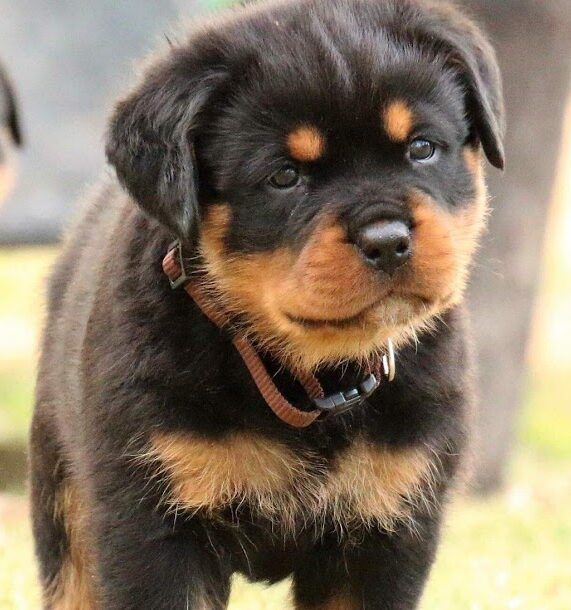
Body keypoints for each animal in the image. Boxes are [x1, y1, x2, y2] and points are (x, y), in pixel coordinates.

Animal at [31, 0, 504, 604]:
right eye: (285, 176)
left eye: (422, 148)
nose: (387, 240)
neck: (309, 377)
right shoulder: (152, 525)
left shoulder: (388, 525)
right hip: (64, 503)